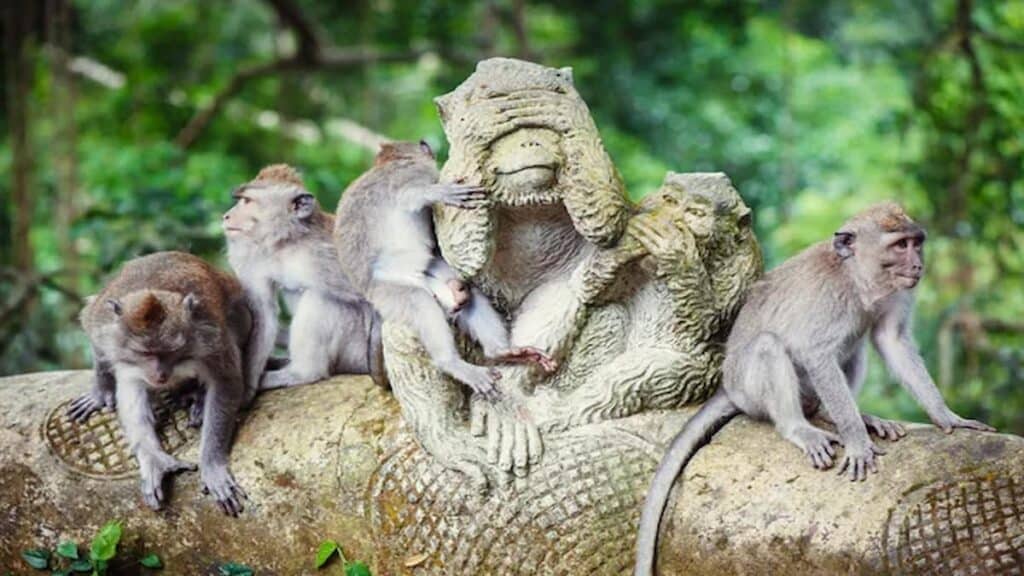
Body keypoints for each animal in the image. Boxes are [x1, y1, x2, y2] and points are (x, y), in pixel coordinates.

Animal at [68, 252, 254, 516]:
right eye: (145, 353)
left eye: (171, 351)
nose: (160, 374)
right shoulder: (103, 325)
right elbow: (101, 347)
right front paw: (102, 391)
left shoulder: (211, 337)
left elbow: (226, 382)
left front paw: (211, 464)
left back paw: (197, 397)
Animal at [223, 164, 387, 392]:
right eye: (240, 199)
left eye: (247, 201)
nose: (227, 216)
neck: (288, 243)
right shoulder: (255, 259)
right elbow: (263, 314)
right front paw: (247, 389)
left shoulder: (330, 256)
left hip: (356, 354)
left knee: (321, 299)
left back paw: (303, 374)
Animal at [333, 140, 557, 398]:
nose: (425, 144)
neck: (390, 162)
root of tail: (368, 294)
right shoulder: (409, 174)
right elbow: (409, 196)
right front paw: (441, 193)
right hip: (388, 293)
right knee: (420, 303)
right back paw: (452, 363)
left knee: (465, 291)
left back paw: (501, 351)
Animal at [634, 202, 994, 575]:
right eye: (899, 246)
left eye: (916, 242)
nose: (918, 265)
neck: (856, 278)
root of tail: (728, 389)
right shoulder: (829, 300)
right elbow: (816, 353)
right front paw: (857, 443)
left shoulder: (895, 292)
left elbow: (890, 340)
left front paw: (946, 416)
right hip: (749, 390)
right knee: (769, 346)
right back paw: (800, 427)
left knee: (854, 347)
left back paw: (839, 415)